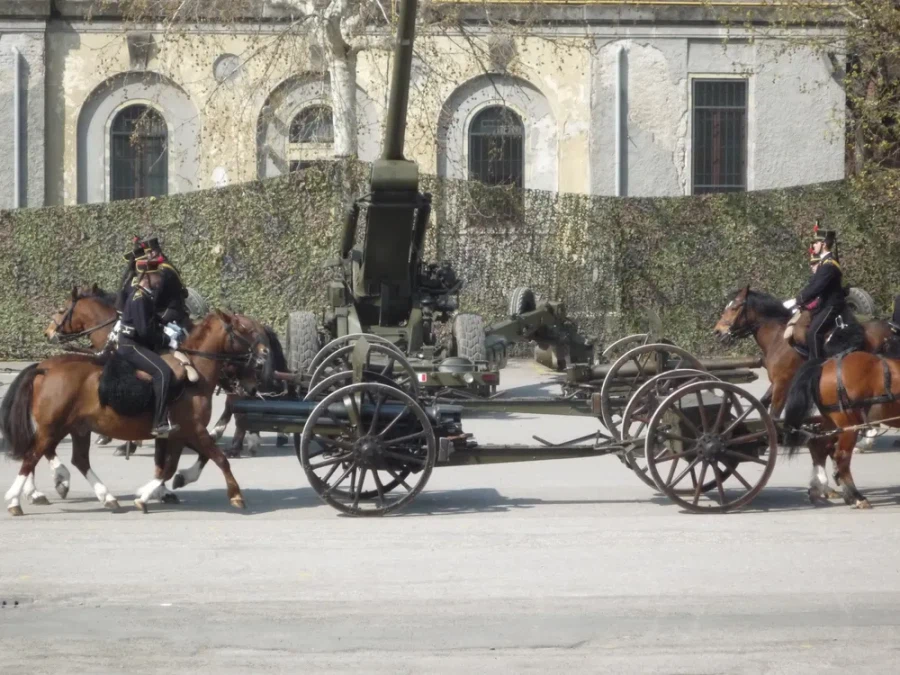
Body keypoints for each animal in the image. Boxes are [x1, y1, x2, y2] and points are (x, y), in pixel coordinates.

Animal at [1, 310, 271, 515]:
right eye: (245, 328)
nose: (263, 355)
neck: (193, 372)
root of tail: (44, 367)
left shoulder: (177, 435)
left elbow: (169, 467)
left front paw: (155, 491)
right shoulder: (192, 430)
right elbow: (217, 459)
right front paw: (235, 495)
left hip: (77, 428)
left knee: (78, 459)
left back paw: (105, 497)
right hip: (52, 428)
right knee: (32, 456)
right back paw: (17, 498)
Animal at [781, 348, 900, 509]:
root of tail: (824, 365)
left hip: (832, 421)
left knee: (819, 445)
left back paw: (819, 485)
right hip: (849, 425)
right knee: (841, 456)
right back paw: (855, 496)